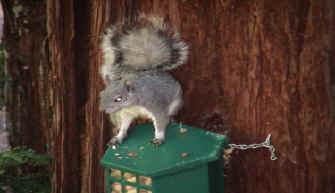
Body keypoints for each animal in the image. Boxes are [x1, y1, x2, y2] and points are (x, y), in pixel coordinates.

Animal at [98, 15, 190, 146]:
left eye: (118, 99)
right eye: (102, 94)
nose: (103, 109)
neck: (133, 103)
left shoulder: (156, 105)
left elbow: (160, 121)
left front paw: (159, 138)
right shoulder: (127, 113)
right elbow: (124, 125)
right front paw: (119, 136)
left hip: (175, 103)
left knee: (169, 114)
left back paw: (171, 119)